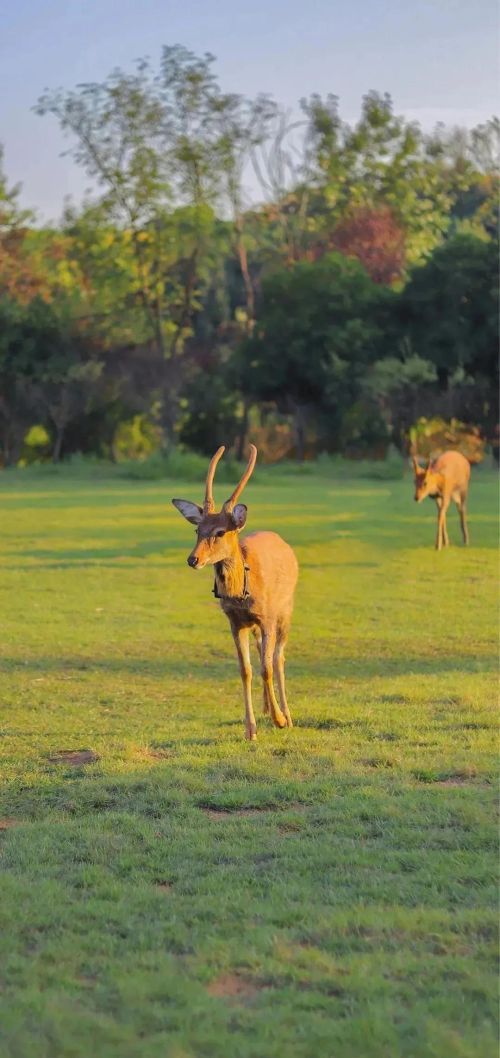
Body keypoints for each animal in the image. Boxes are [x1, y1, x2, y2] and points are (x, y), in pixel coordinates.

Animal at [171, 442, 295, 740]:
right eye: (197, 529)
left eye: (220, 531)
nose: (193, 559)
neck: (242, 593)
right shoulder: (235, 622)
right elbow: (246, 670)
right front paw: (250, 729)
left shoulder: (268, 617)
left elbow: (266, 668)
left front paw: (279, 720)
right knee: (265, 654)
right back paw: (266, 708)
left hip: (286, 611)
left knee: (279, 657)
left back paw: (287, 715)